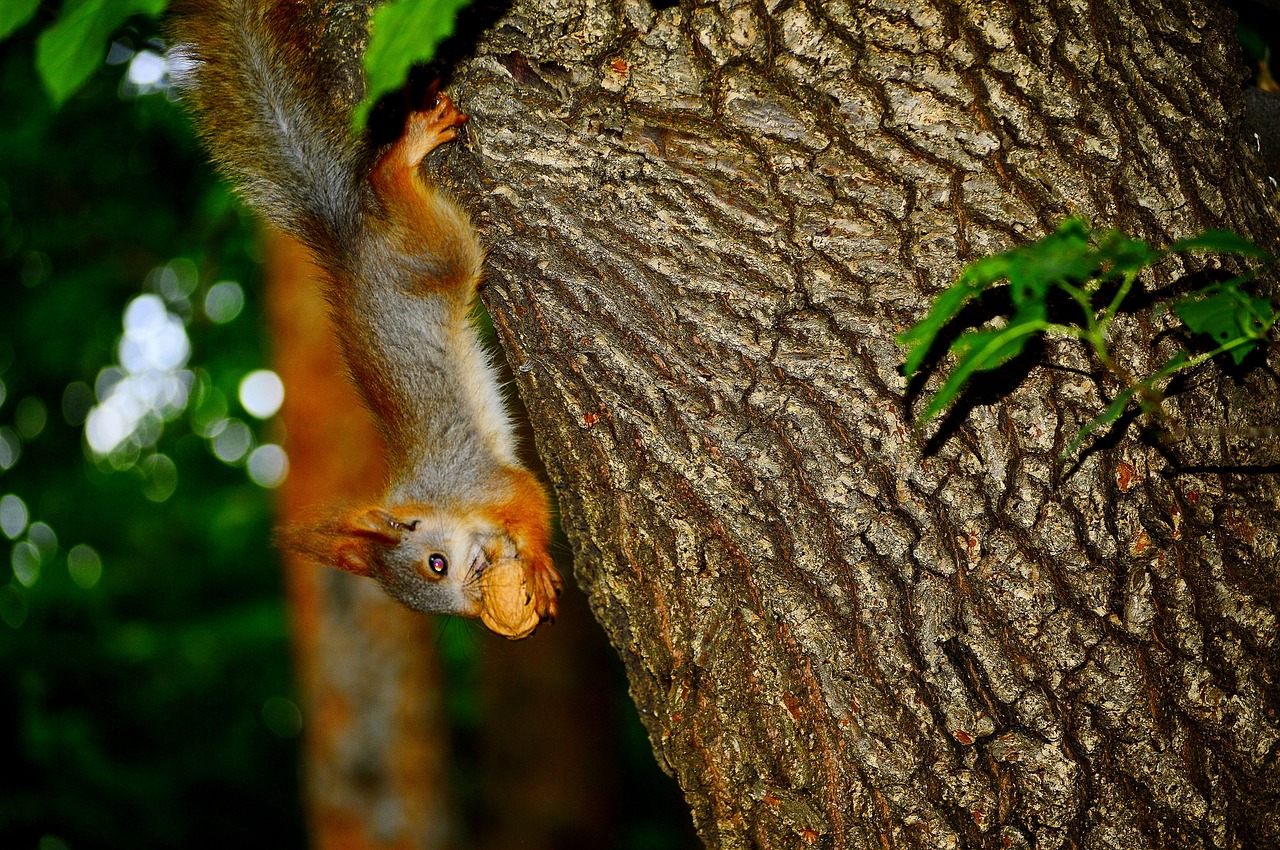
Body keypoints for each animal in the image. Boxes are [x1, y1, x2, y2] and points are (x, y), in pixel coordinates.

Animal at [170, 0, 560, 637]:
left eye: (435, 562)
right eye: (433, 594)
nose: (474, 595)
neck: (438, 502)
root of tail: (350, 244)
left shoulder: (480, 480)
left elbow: (528, 498)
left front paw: (538, 559)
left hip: (439, 253)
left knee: (388, 183)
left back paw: (403, 154)